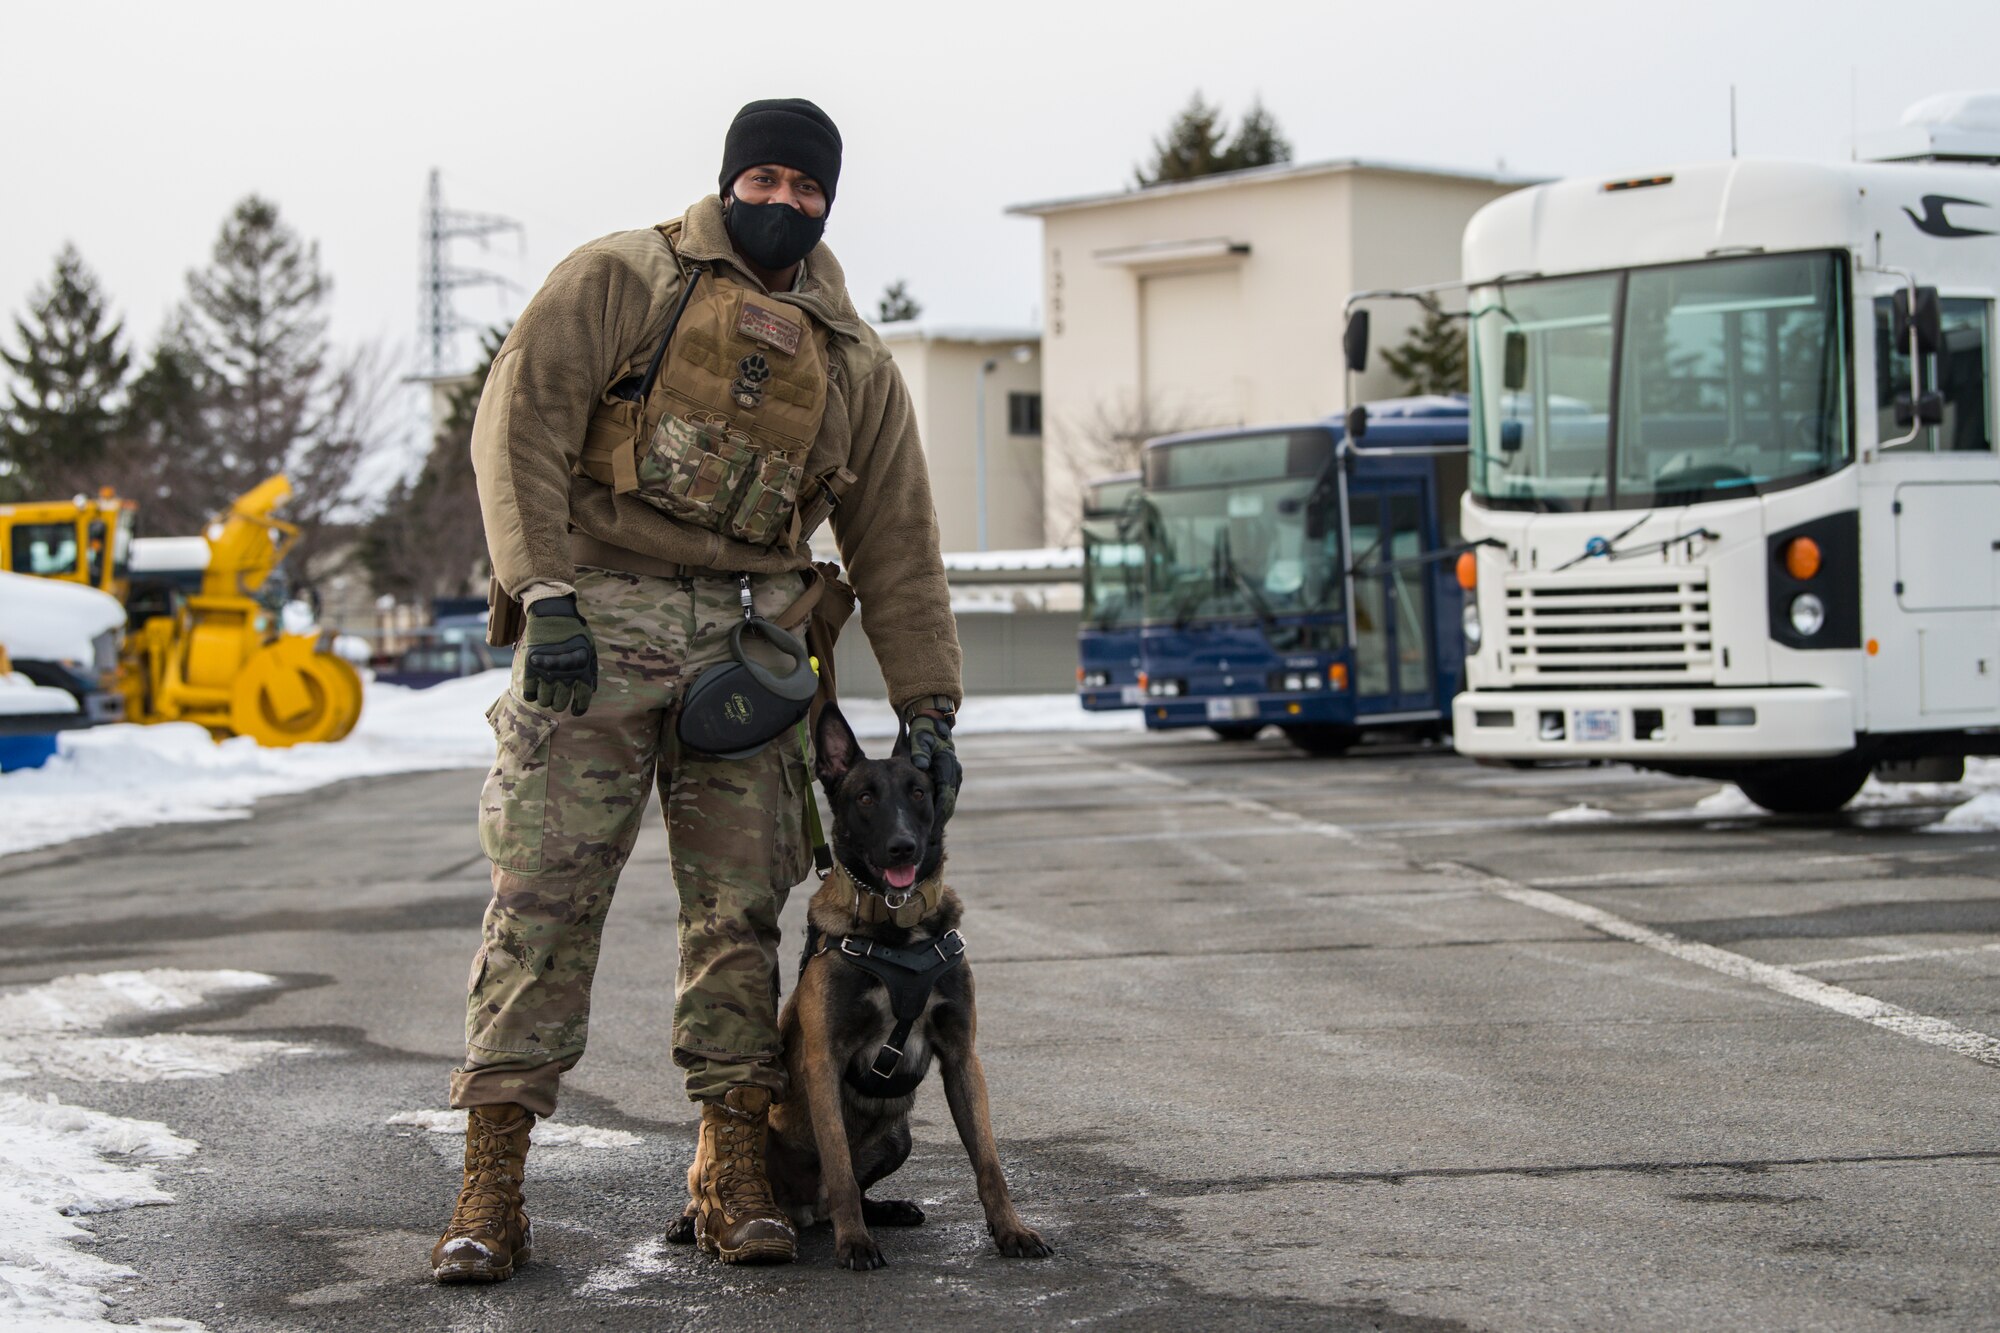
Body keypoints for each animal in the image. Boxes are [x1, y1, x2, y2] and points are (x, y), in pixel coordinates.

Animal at [672, 696, 1048, 1264]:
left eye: (918, 793)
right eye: (866, 798)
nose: (903, 848)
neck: (898, 932)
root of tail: (800, 1210)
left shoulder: (962, 1057)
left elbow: (988, 1162)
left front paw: (1011, 1230)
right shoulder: (824, 1061)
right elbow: (840, 1168)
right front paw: (855, 1244)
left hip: (898, 1138)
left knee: (834, 1199)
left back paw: (887, 1210)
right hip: (741, 1147)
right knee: (722, 1174)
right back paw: (699, 1218)